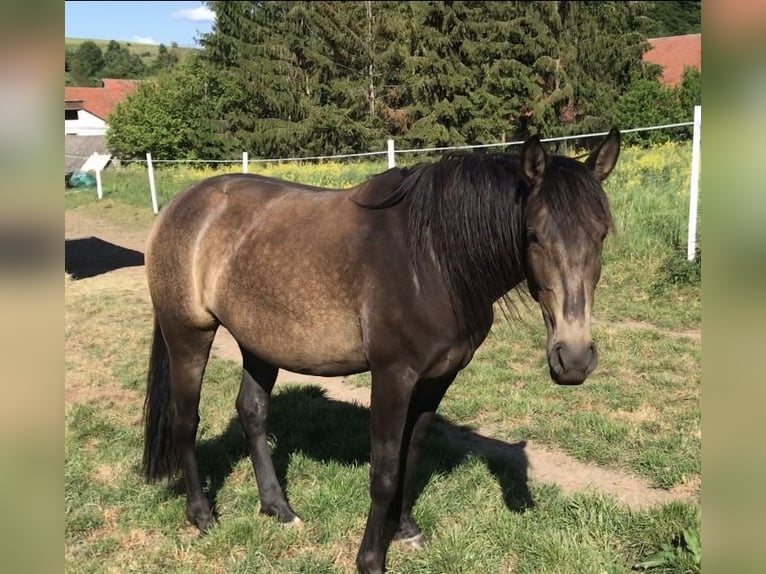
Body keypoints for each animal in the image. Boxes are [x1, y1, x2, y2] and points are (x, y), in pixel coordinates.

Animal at [142, 130, 624, 574]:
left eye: (602, 234)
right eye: (533, 234)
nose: (574, 359)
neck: (431, 259)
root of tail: (181, 204)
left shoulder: (438, 377)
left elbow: (412, 455)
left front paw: (406, 530)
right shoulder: (393, 376)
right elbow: (386, 470)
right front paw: (371, 559)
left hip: (259, 343)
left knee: (253, 413)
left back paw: (278, 508)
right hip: (189, 334)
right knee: (185, 421)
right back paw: (202, 516)